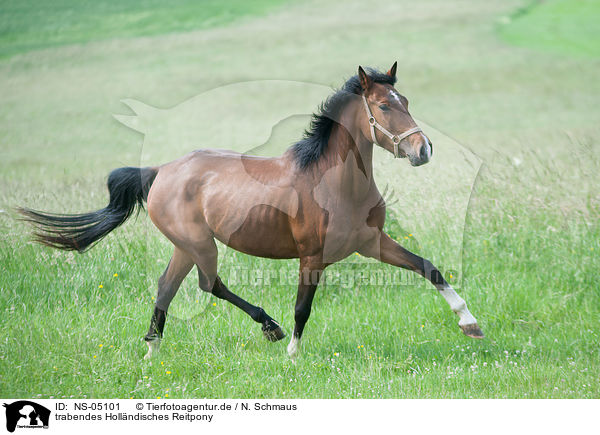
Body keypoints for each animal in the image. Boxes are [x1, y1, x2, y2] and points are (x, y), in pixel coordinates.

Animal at [17, 62, 482, 362]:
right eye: (384, 106)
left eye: (406, 99)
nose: (423, 150)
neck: (334, 183)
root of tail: (160, 170)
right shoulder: (312, 255)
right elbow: (302, 306)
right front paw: (293, 353)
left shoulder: (371, 243)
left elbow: (429, 268)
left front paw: (470, 324)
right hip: (199, 244)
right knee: (208, 284)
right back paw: (268, 327)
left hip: (185, 247)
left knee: (167, 287)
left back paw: (152, 350)